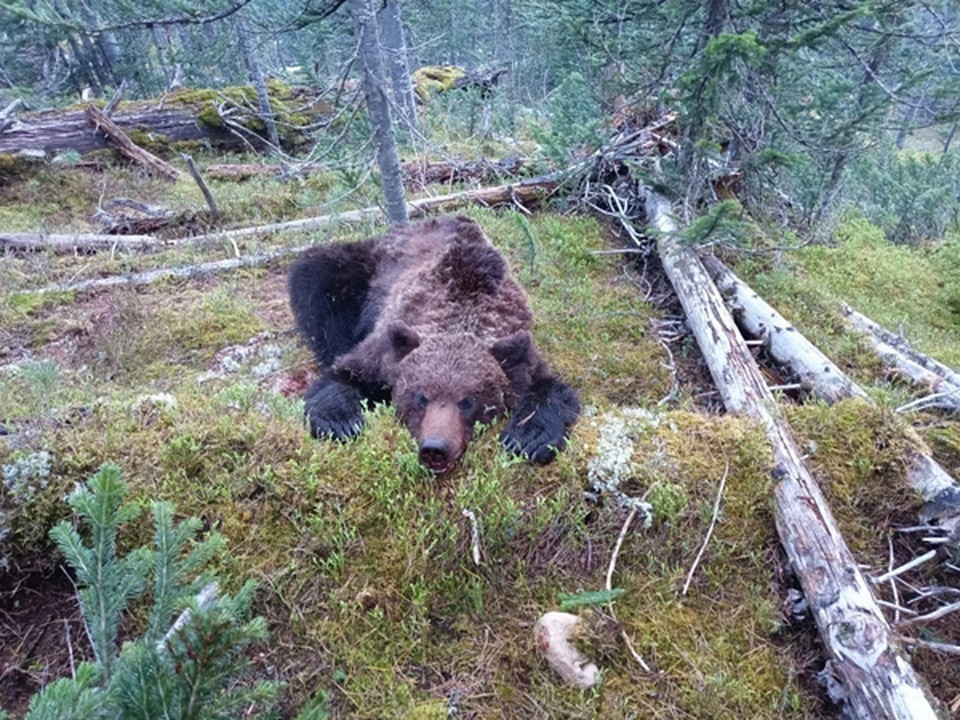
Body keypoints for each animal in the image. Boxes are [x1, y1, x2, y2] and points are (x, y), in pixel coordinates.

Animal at [286, 214, 576, 472]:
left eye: (468, 401)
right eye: (421, 397)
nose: (435, 448)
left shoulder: (519, 350)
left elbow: (552, 390)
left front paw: (528, 438)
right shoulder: (386, 349)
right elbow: (343, 374)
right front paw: (341, 422)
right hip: (364, 269)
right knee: (316, 278)